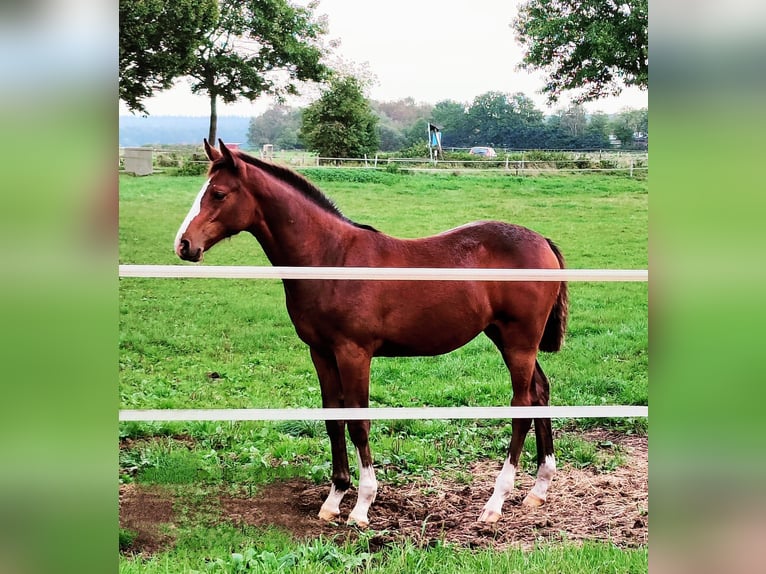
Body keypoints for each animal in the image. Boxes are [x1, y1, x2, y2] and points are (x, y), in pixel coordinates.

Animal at [176, 140, 568, 528]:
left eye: (219, 193)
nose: (183, 244)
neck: (331, 259)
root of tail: (543, 241)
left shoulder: (354, 353)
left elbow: (358, 422)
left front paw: (362, 506)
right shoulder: (321, 352)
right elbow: (333, 419)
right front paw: (334, 499)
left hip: (519, 342)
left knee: (522, 406)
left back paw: (495, 502)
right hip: (507, 339)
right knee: (540, 392)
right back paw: (539, 489)